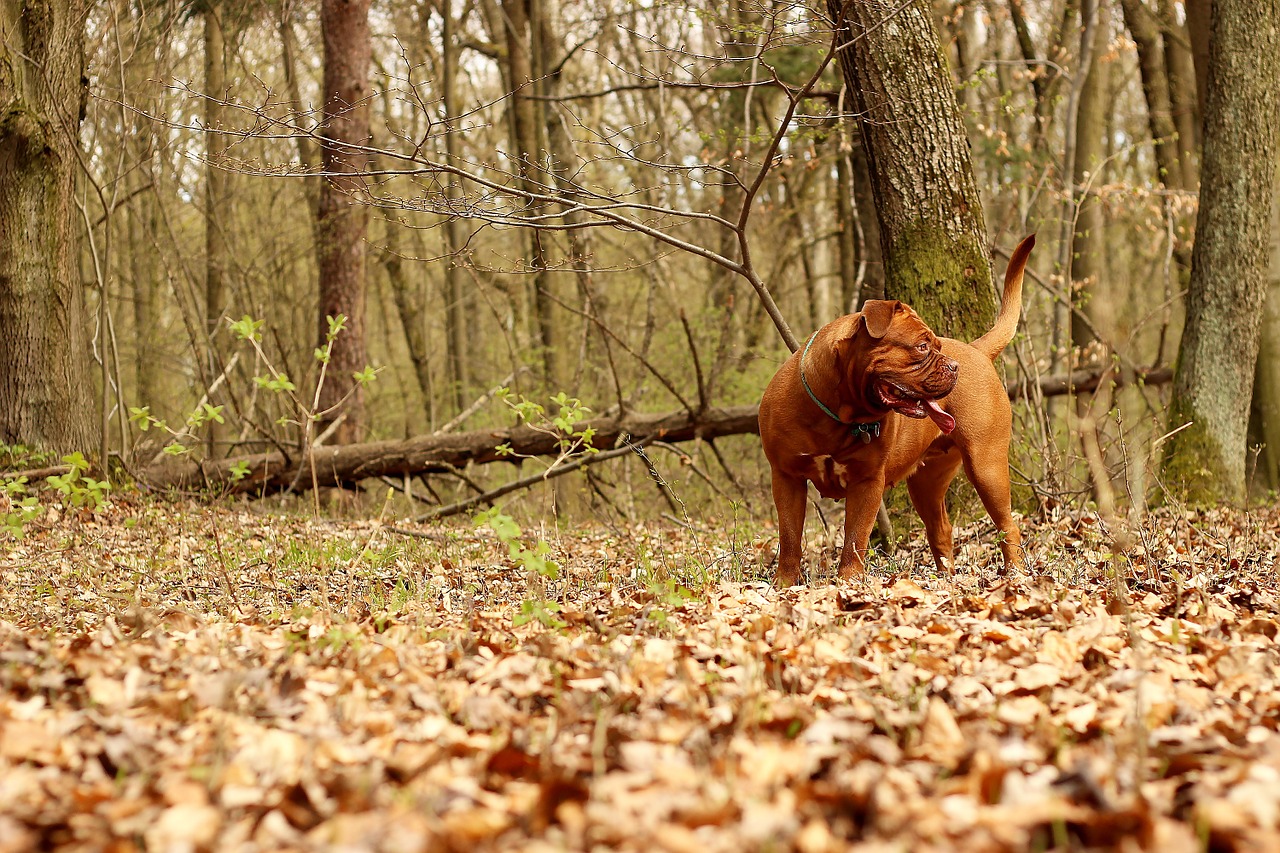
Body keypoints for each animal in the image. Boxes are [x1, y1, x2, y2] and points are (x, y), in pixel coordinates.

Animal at [752, 234, 1034, 584]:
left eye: (935, 345)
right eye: (923, 347)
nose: (953, 367)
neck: (836, 413)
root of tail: (976, 350)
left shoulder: (867, 481)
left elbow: (855, 538)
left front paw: (848, 582)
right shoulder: (787, 476)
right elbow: (790, 537)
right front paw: (785, 584)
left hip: (987, 465)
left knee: (1008, 526)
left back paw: (1016, 574)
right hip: (927, 482)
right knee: (941, 528)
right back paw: (945, 578)